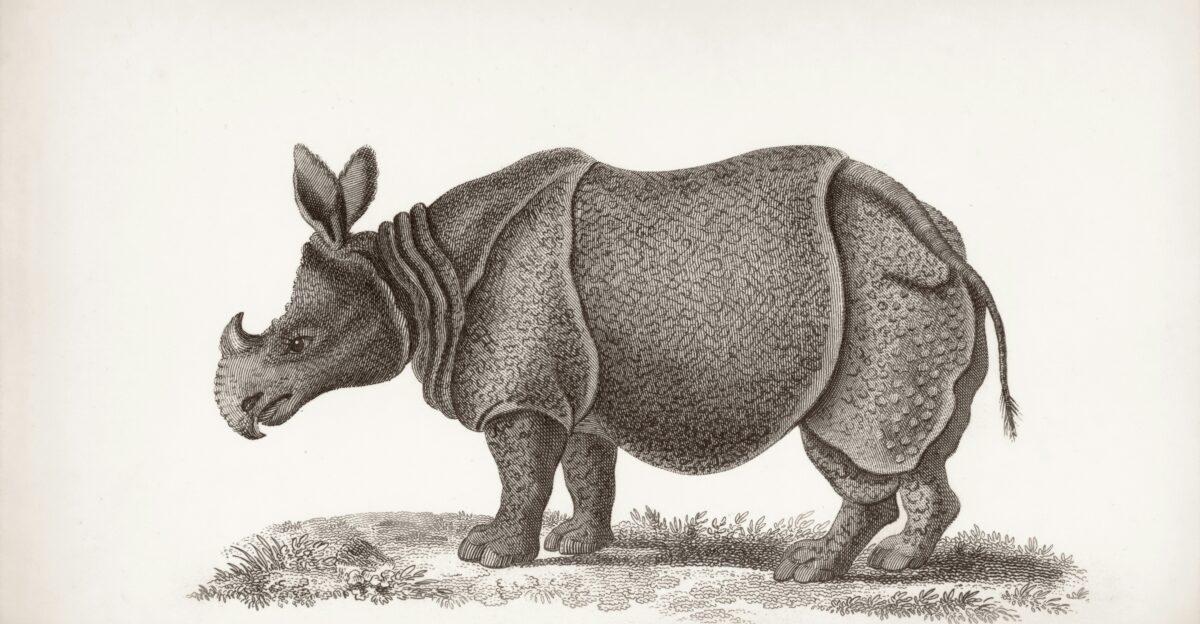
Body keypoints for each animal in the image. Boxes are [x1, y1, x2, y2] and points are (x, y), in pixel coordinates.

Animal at [213, 144, 1017, 582]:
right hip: (924, 279)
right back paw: (897, 566)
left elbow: (521, 471)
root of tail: (931, 233)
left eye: (298, 344)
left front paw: (489, 554)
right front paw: (577, 544)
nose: (245, 414)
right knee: (917, 444)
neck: (411, 278)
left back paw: (805, 572)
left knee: (847, 438)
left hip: (880, 287)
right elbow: (584, 465)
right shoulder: (576, 383)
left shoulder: (519, 385)